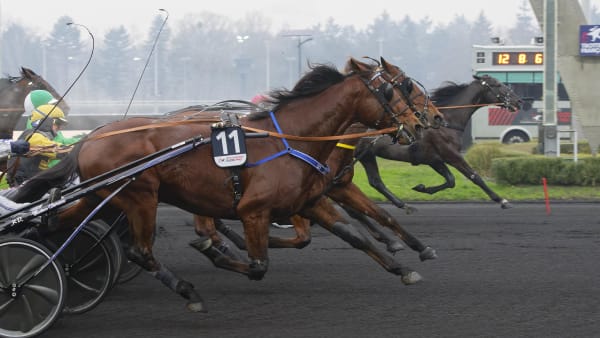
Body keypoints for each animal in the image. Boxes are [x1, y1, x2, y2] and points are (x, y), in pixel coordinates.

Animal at [14, 57, 424, 312]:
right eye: (396, 89)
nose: (421, 124)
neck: (291, 137)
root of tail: (90, 137)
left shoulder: (309, 201)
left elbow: (355, 235)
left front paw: (403, 267)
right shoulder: (254, 210)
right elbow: (257, 264)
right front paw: (216, 252)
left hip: (101, 196)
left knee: (56, 222)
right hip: (139, 197)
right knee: (140, 251)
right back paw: (187, 290)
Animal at [356, 76, 520, 211]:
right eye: (497, 84)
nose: (518, 100)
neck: (445, 123)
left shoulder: (434, 159)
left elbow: (451, 180)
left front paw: (422, 188)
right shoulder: (451, 155)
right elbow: (475, 176)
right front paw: (502, 200)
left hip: (367, 155)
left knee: (376, 181)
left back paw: (403, 204)